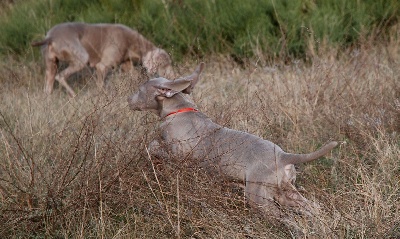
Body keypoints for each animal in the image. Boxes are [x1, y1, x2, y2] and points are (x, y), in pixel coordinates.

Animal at [32, 22, 174, 97]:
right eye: (164, 65)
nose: (173, 77)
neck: (131, 40)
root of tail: (51, 37)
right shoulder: (102, 66)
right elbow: (100, 86)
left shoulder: (126, 62)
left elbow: (133, 76)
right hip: (80, 57)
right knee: (60, 76)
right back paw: (75, 96)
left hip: (51, 63)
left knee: (49, 84)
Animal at [128, 62, 338, 218]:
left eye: (139, 90)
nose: (128, 100)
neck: (178, 109)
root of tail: (283, 156)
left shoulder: (180, 154)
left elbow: (154, 146)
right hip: (288, 192)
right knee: (312, 207)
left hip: (258, 196)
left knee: (283, 217)